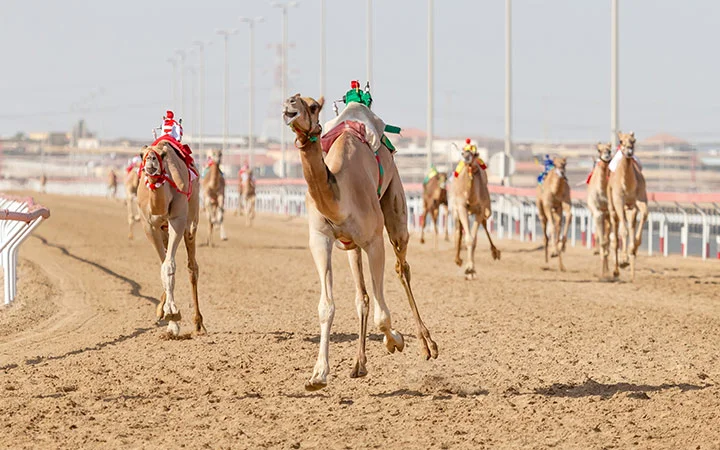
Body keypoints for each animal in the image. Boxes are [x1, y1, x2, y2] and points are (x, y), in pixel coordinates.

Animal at [136, 142, 204, 336]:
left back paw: (198, 322)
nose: (151, 160)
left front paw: (172, 315)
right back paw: (161, 310)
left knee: (192, 267)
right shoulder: (149, 226)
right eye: (141, 154)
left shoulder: (177, 219)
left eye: (163, 155)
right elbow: (163, 265)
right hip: (163, 230)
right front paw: (169, 318)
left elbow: (169, 265)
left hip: (191, 219)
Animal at [283, 94, 438, 391]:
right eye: (292, 101)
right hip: (350, 245)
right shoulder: (320, 239)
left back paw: (428, 344)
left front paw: (396, 341)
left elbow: (382, 315)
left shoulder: (374, 241)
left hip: (395, 205)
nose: (290, 105)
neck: (341, 196)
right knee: (362, 295)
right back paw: (359, 364)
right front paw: (318, 375)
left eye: (313, 106)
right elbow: (326, 306)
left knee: (402, 269)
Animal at [451, 150, 501, 280]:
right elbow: (468, 238)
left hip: (485, 209)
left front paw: (470, 270)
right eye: (463, 151)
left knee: (483, 225)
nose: (466, 157)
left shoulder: (480, 210)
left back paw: (495, 252)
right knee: (459, 229)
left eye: (475, 153)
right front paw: (468, 269)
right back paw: (457, 259)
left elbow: (473, 239)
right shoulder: (462, 207)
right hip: (456, 209)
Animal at [607, 131, 648, 281]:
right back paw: (617, 270)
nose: (629, 151)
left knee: (630, 225)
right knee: (615, 233)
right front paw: (624, 260)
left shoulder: (640, 200)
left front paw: (634, 248)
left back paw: (631, 269)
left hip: (630, 208)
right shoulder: (619, 200)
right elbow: (623, 231)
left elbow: (644, 215)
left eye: (633, 140)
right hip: (613, 207)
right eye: (620, 141)